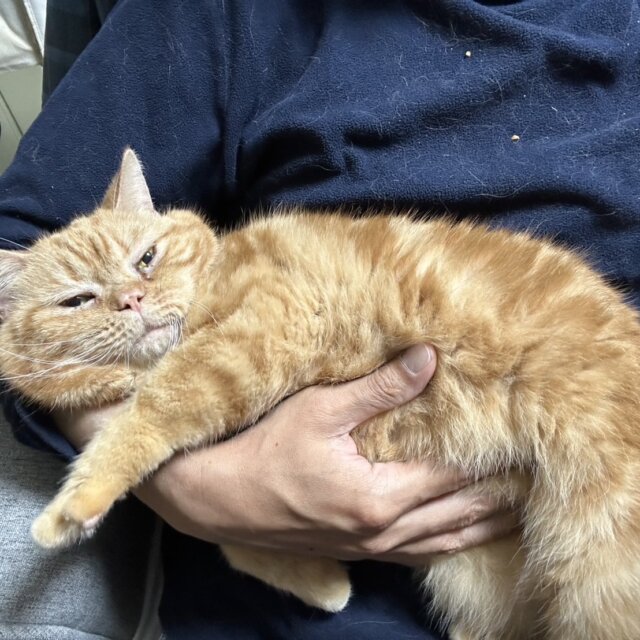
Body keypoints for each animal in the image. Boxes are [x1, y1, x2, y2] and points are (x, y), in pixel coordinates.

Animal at [1, 148, 640, 640]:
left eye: (147, 258)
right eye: (77, 301)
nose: (132, 300)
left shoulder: (258, 338)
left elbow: (150, 416)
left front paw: (74, 504)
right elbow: (225, 535)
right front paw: (322, 583)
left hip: (601, 573)